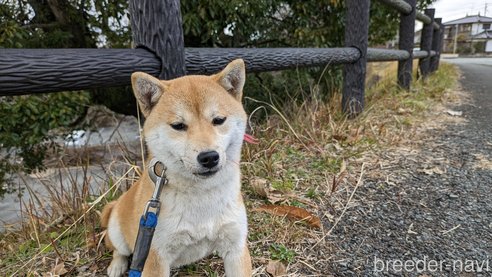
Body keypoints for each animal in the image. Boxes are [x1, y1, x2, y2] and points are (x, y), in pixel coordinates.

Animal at [101, 59, 252, 274]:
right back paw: (117, 265)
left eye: (219, 120)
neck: (202, 196)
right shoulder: (154, 257)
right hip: (119, 232)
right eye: (178, 126)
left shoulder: (236, 246)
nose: (209, 157)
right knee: (118, 249)